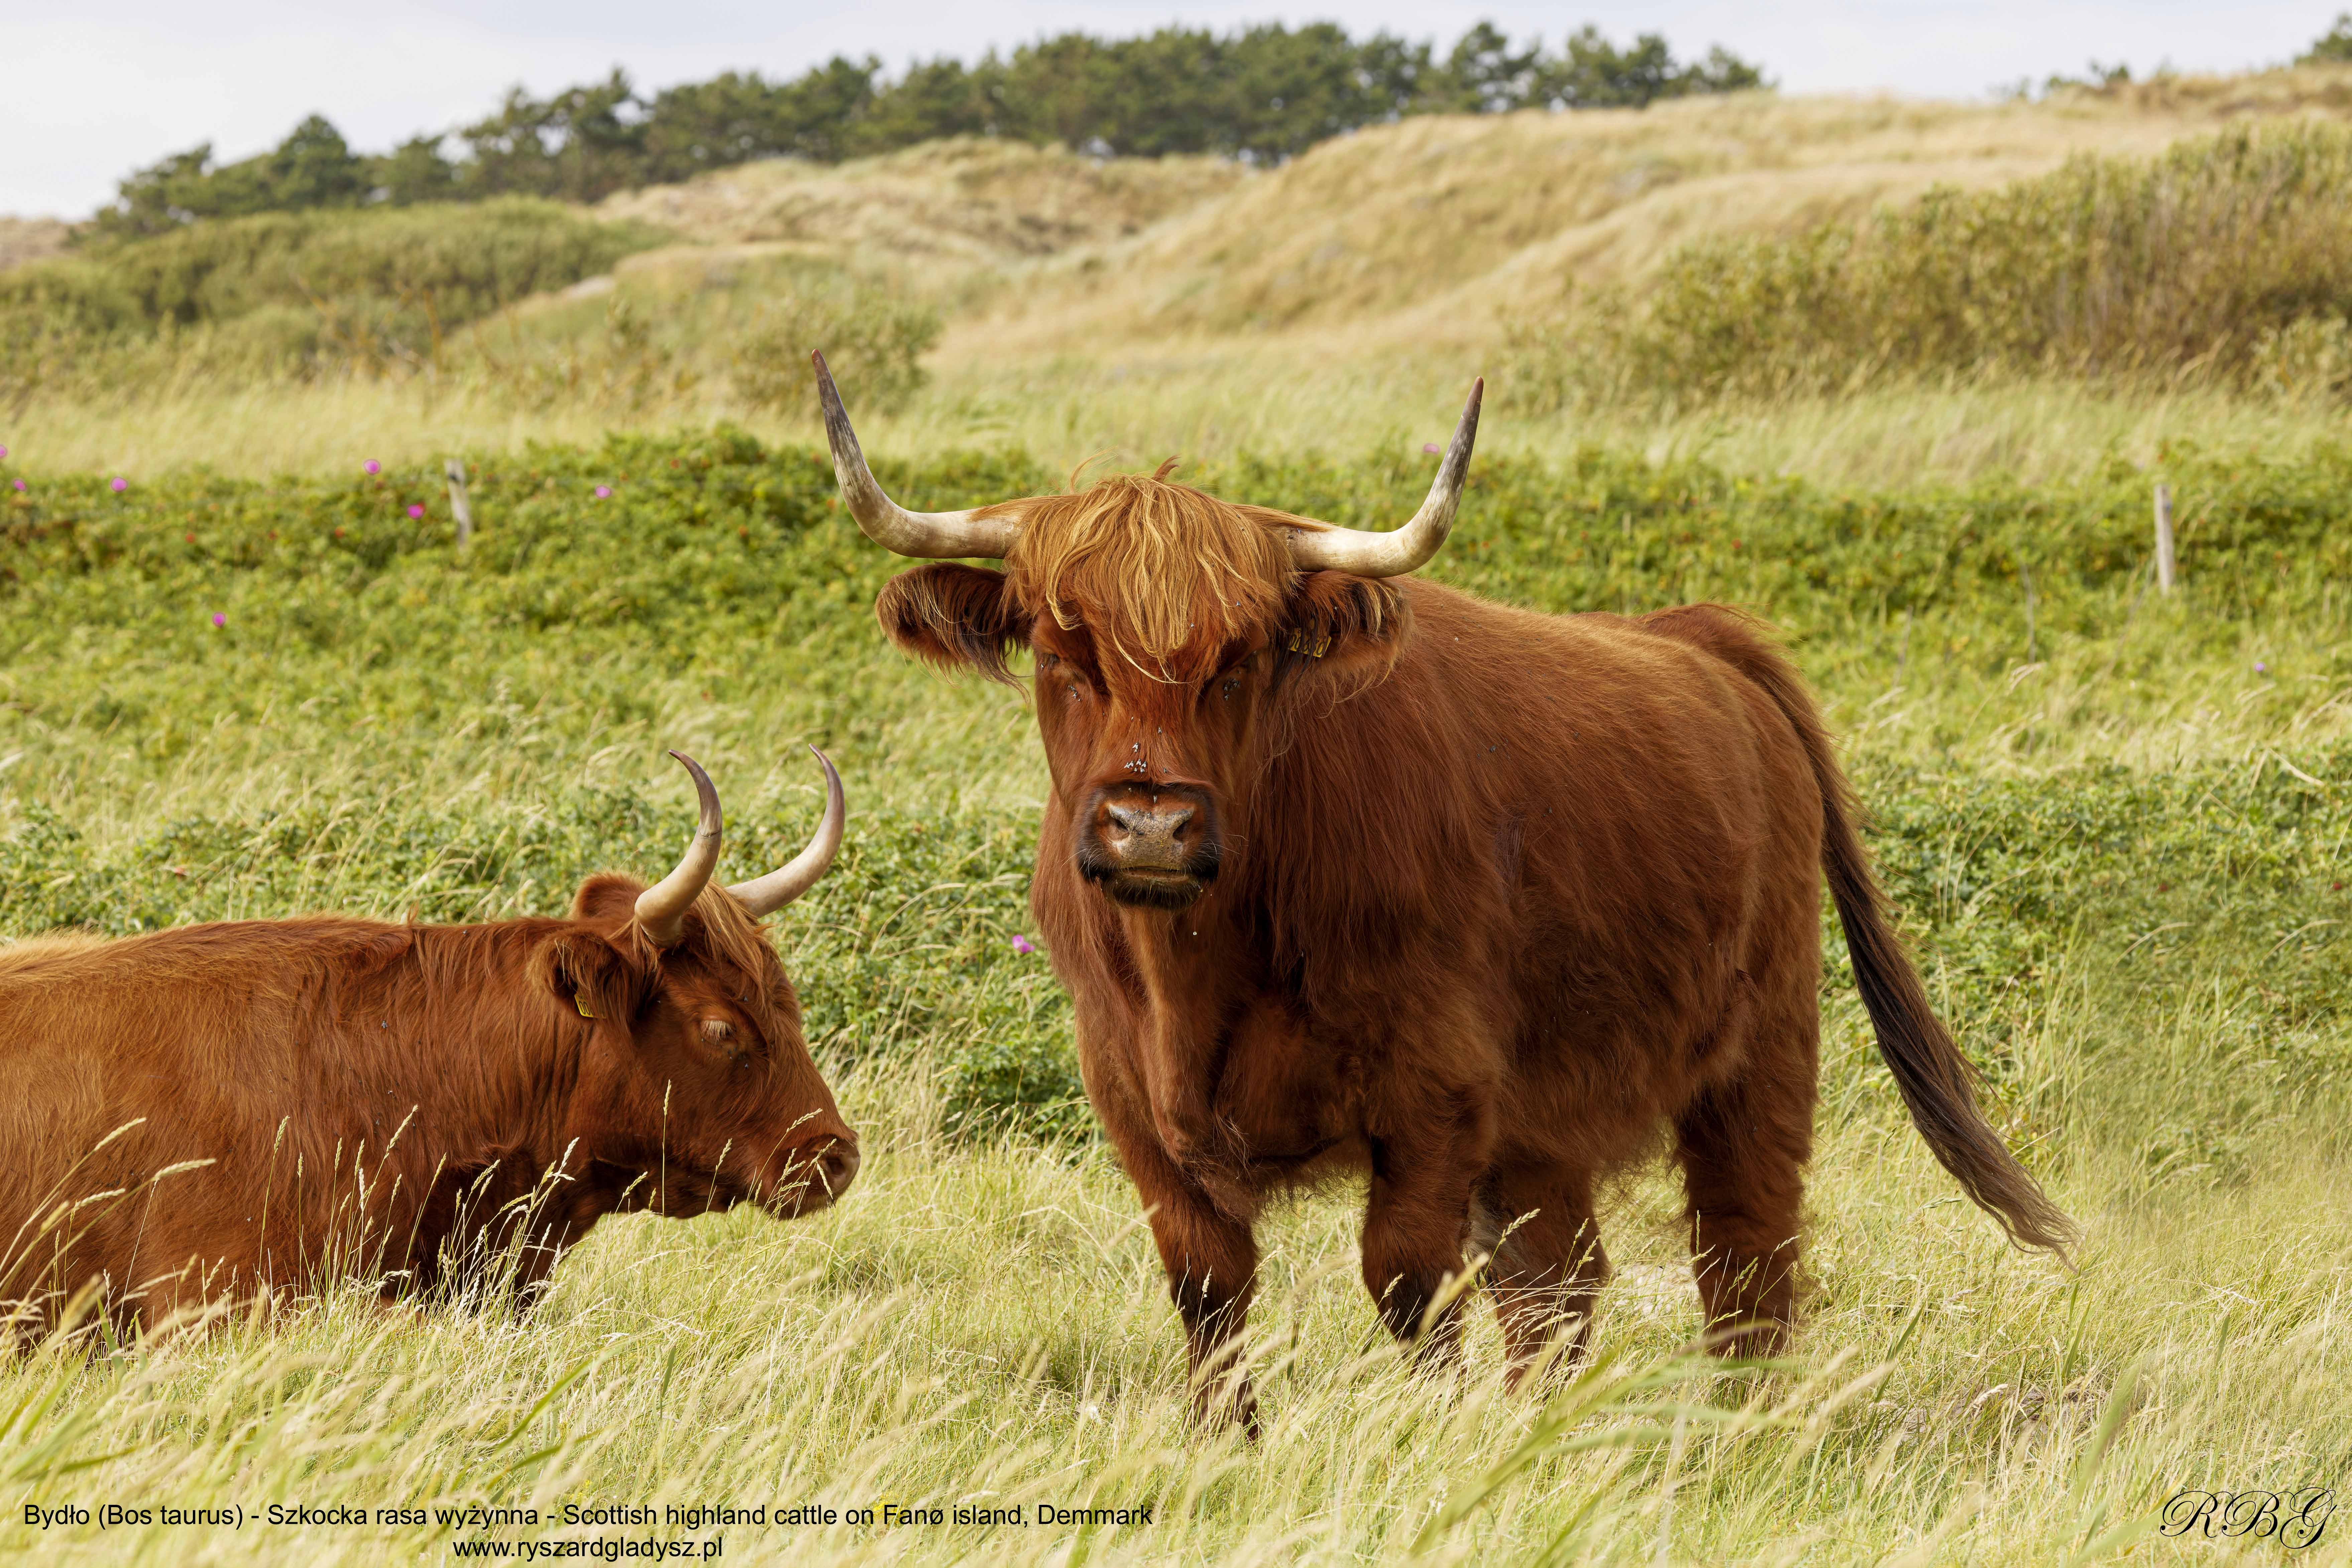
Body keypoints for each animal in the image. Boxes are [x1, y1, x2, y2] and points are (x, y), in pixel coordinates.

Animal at [814, 351, 2074, 1431]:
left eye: (1242, 659)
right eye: (1058, 651)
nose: (1152, 827)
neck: (1200, 972)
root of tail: (1694, 636)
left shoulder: (1431, 1096)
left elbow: (1411, 1288)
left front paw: (1428, 1440)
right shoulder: (1134, 1107)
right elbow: (1210, 1295)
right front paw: (1228, 1446)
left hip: (1759, 1050)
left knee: (1742, 1258)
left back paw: (1740, 1431)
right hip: (1544, 1117)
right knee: (1563, 1282)